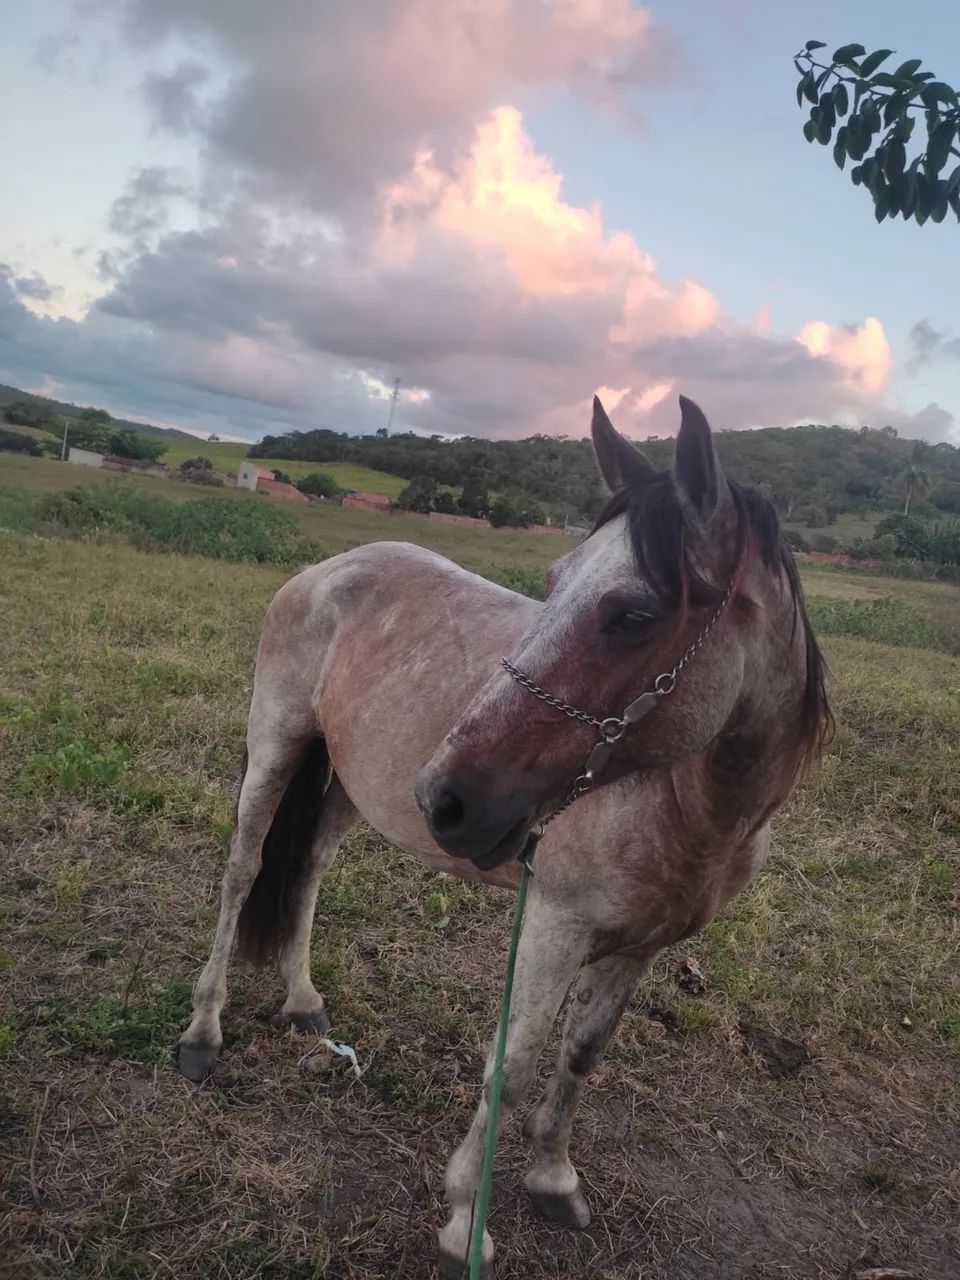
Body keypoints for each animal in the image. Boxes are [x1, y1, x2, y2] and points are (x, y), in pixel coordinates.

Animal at [177, 395, 830, 1278]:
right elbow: (513, 1066)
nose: (445, 798)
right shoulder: (553, 926)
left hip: (350, 784)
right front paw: (466, 1215)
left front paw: (553, 1179)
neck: (694, 811)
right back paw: (202, 1034)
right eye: (552, 583)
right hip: (277, 749)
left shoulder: (639, 948)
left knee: (307, 868)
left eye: (633, 614)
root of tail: (330, 567)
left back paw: (304, 1001)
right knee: (243, 874)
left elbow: (580, 1058)